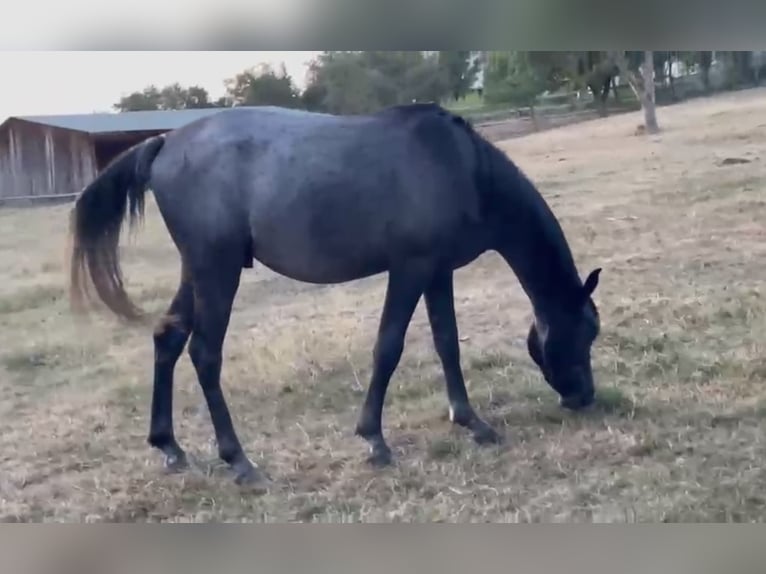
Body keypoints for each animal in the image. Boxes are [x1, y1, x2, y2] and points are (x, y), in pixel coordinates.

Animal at [68, 103, 602, 485]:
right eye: (587, 332)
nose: (585, 397)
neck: (460, 167)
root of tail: (164, 144)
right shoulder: (410, 269)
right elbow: (389, 347)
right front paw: (374, 440)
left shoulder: (437, 273)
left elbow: (447, 343)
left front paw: (472, 422)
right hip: (217, 271)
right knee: (204, 354)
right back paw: (239, 461)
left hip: (197, 273)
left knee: (168, 339)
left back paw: (170, 447)